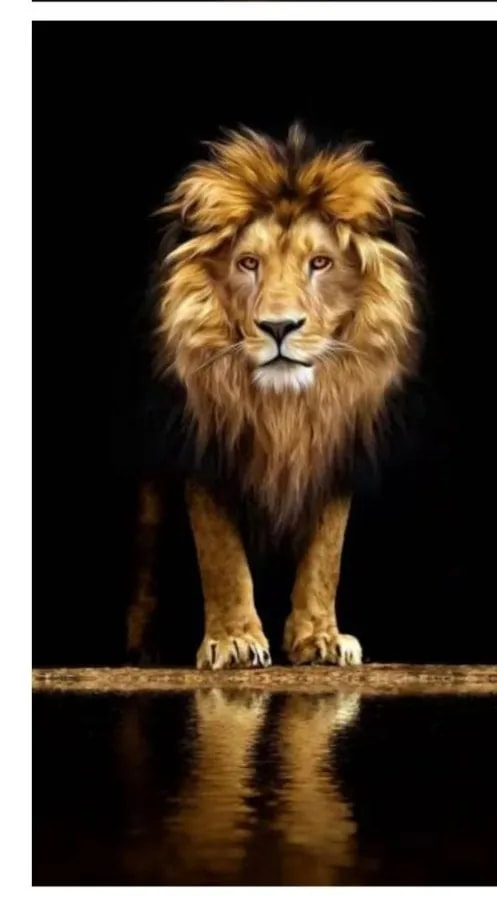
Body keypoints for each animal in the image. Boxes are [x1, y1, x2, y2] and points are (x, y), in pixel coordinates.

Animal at [126, 123, 422, 670]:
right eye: (248, 263)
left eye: (320, 263)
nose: (279, 327)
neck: (283, 408)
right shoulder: (205, 448)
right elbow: (220, 554)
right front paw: (234, 640)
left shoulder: (334, 446)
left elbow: (326, 554)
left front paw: (321, 637)